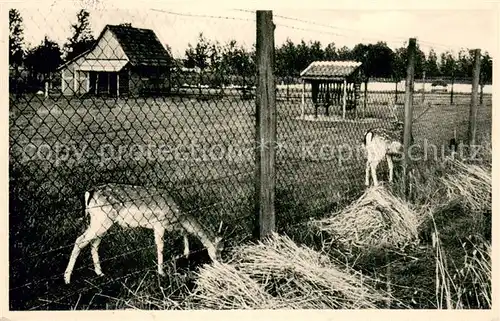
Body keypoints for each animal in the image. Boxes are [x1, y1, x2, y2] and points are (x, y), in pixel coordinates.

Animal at [63, 182, 224, 282]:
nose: (221, 263)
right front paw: (162, 273)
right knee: (80, 240)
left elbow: (184, 233)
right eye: (219, 249)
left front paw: (185, 254)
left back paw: (100, 273)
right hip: (103, 219)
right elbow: (160, 246)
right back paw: (67, 279)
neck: (179, 215)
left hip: (99, 221)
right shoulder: (159, 224)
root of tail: (89, 193)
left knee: (94, 243)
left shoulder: (173, 226)